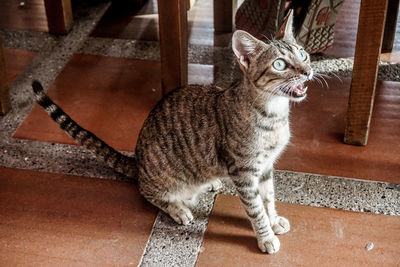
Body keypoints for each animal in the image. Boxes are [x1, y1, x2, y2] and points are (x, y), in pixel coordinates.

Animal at [31, 9, 312, 254]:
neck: (273, 114)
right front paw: (266, 236)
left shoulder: (265, 168)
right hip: (162, 179)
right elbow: (255, 209)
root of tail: (138, 162)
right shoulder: (244, 172)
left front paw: (273, 220)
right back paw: (178, 209)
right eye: (279, 64)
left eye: (303, 54)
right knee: (147, 192)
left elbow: (268, 198)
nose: (308, 70)